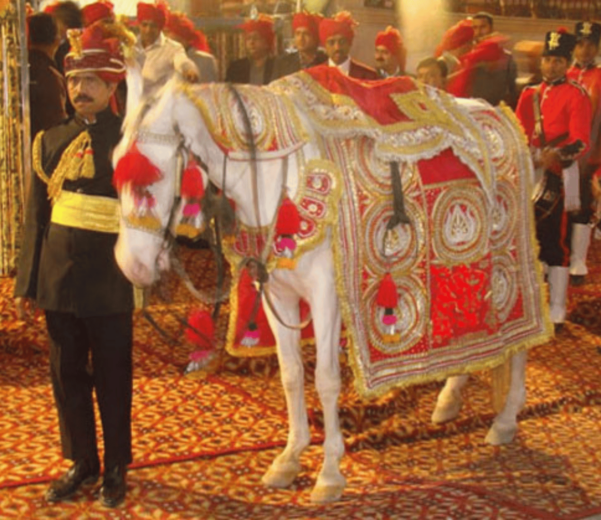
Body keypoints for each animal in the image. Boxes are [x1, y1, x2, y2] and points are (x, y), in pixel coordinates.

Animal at [113, 68, 552, 503]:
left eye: (152, 179)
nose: (132, 265)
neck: (275, 177)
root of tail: (503, 115)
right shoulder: (277, 294)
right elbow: (291, 374)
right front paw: (290, 457)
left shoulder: (326, 298)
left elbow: (325, 380)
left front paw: (329, 472)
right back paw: (449, 397)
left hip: (512, 264)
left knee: (519, 343)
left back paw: (506, 418)